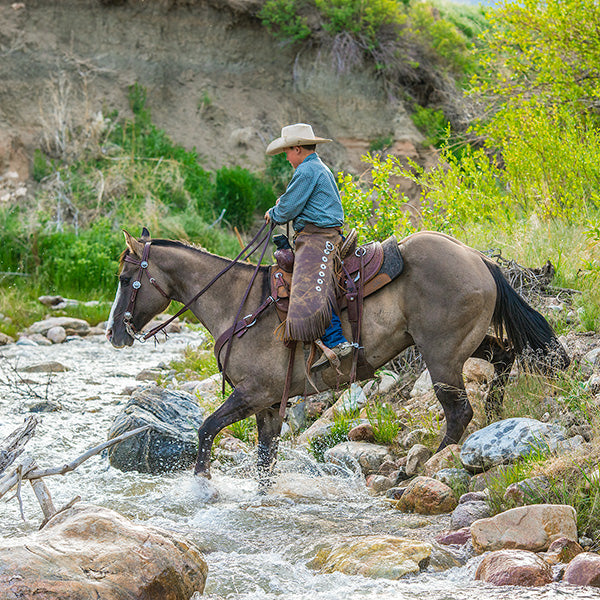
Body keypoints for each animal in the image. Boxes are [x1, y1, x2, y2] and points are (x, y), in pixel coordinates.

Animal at [105, 227, 568, 486]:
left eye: (126, 279)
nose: (113, 334)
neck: (238, 303)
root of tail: (480, 258)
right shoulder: (268, 405)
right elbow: (265, 462)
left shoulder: (252, 395)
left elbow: (205, 430)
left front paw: (202, 487)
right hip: (460, 344)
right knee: (504, 355)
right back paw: (496, 412)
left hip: (440, 355)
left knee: (458, 412)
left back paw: (416, 470)